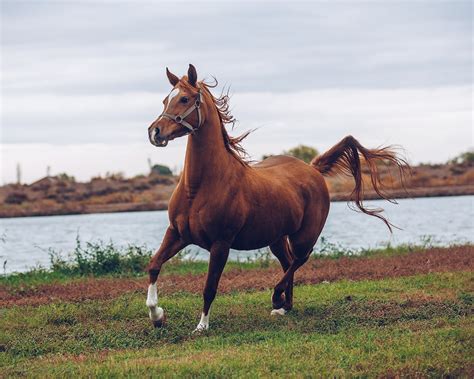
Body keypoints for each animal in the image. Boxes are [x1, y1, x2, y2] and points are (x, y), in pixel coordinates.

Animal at [145, 63, 408, 332]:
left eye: (184, 99)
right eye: (166, 99)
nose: (155, 132)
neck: (198, 188)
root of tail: (312, 168)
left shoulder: (221, 244)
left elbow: (209, 287)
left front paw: (201, 326)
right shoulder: (177, 233)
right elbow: (154, 265)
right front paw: (157, 316)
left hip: (304, 236)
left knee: (300, 258)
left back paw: (277, 297)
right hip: (277, 238)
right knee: (288, 261)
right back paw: (284, 306)